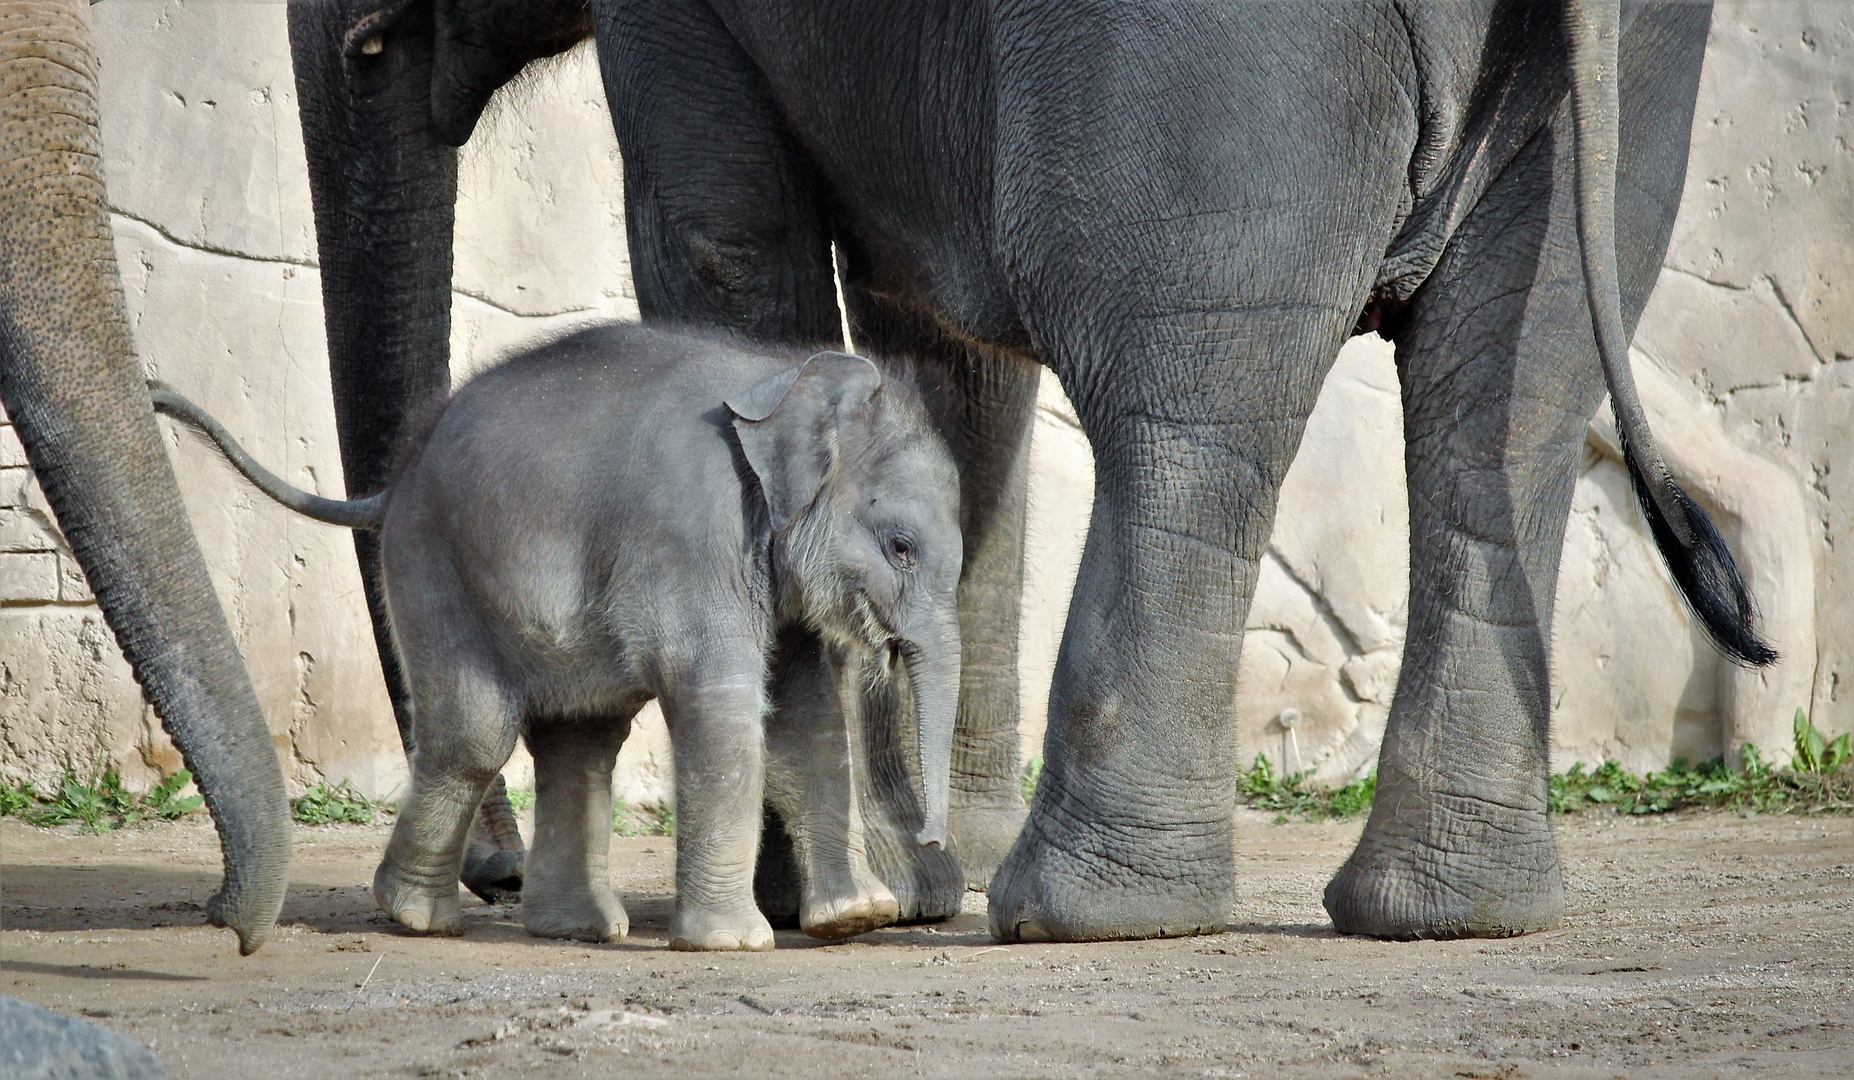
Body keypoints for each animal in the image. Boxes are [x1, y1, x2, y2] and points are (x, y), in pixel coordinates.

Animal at [152, 326, 964, 948]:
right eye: (900, 547)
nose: (932, 843)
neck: (781, 379)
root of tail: (395, 478)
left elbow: (810, 713)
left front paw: (854, 920)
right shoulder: (690, 534)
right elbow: (721, 702)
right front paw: (735, 945)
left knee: (582, 736)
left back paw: (572, 929)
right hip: (431, 563)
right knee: (476, 736)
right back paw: (417, 918)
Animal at [285, 0, 1765, 941]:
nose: (485, 873)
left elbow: (722, 246)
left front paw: (817, 898)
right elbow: (945, 357)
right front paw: (919, 867)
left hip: (1222, 57)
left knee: (1190, 405)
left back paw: (1084, 915)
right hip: (1624, 74)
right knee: (1509, 396)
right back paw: (1446, 916)